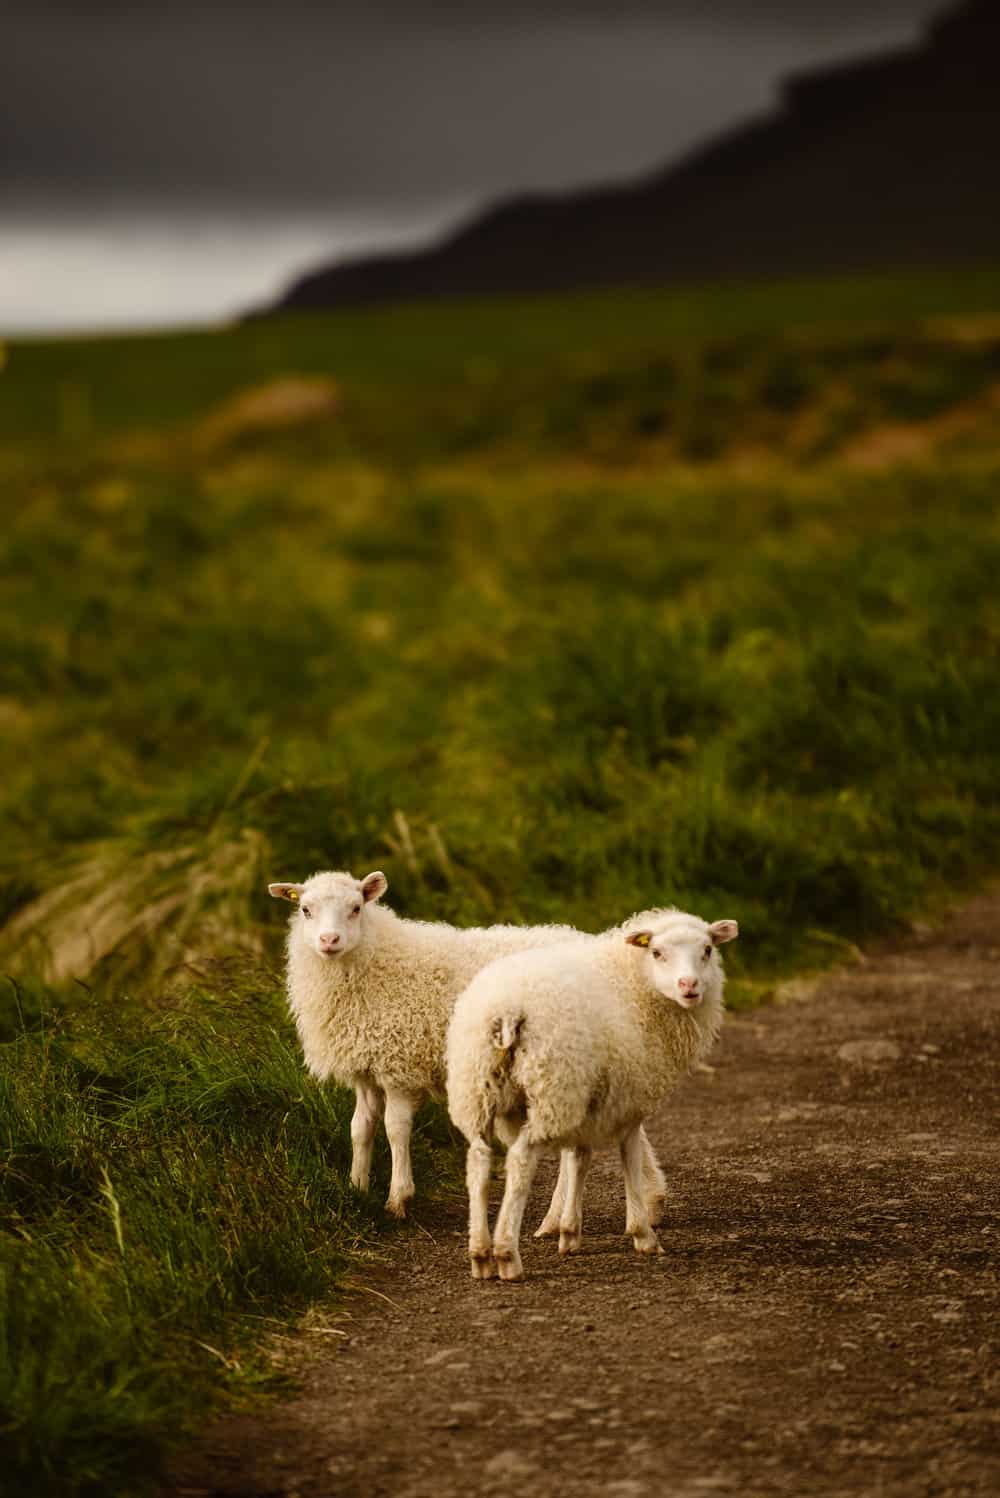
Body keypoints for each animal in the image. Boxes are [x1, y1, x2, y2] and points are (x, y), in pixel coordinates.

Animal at [267, 869, 666, 1222]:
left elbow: (395, 1128)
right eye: (305, 910)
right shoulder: (367, 1068)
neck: (375, 960)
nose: (329, 941)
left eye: (355, 908)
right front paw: (357, 1188)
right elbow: (360, 1128)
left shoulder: (400, 1065)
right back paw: (650, 1201)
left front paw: (398, 1198)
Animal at [446, 906, 738, 1280]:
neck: (635, 983)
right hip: (551, 1087)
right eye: (657, 953)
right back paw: (507, 1254)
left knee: (479, 1162)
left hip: (478, 1089)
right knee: (520, 1161)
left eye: (707, 950)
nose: (689, 986)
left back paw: (481, 1255)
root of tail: (505, 1010)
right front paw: (642, 1234)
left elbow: (579, 1159)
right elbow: (629, 1159)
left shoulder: (589, 1098)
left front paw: (569, 1232)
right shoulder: (629, 1101)